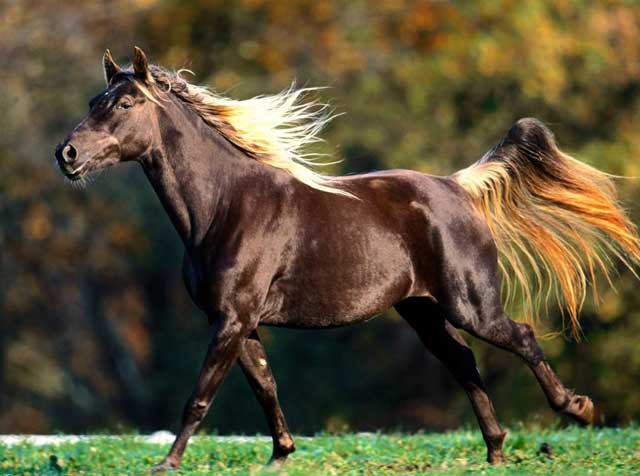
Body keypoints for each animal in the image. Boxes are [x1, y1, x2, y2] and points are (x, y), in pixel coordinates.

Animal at [53, 46, 640, 470]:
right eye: (91, 100)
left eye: (125, 104)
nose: (67, 154)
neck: (222, 206)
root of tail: (457, 187)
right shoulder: (240, 323)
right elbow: (265, 387)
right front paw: (281, 457)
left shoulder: (231, 320)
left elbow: (200, 395)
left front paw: (167, 464)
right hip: (423, 311)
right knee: (463, 361)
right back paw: (495, 450)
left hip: (470, 305)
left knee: (519, 336)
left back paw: (576, 409)